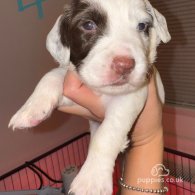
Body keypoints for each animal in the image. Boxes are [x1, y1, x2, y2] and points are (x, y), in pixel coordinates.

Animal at [9, 0, 171, 194]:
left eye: (142, 26)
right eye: (88, 25)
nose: (124, 65)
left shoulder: (130, 97)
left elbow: (106, 134)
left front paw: (92, 180)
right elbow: (52, 75)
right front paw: (31, 109)